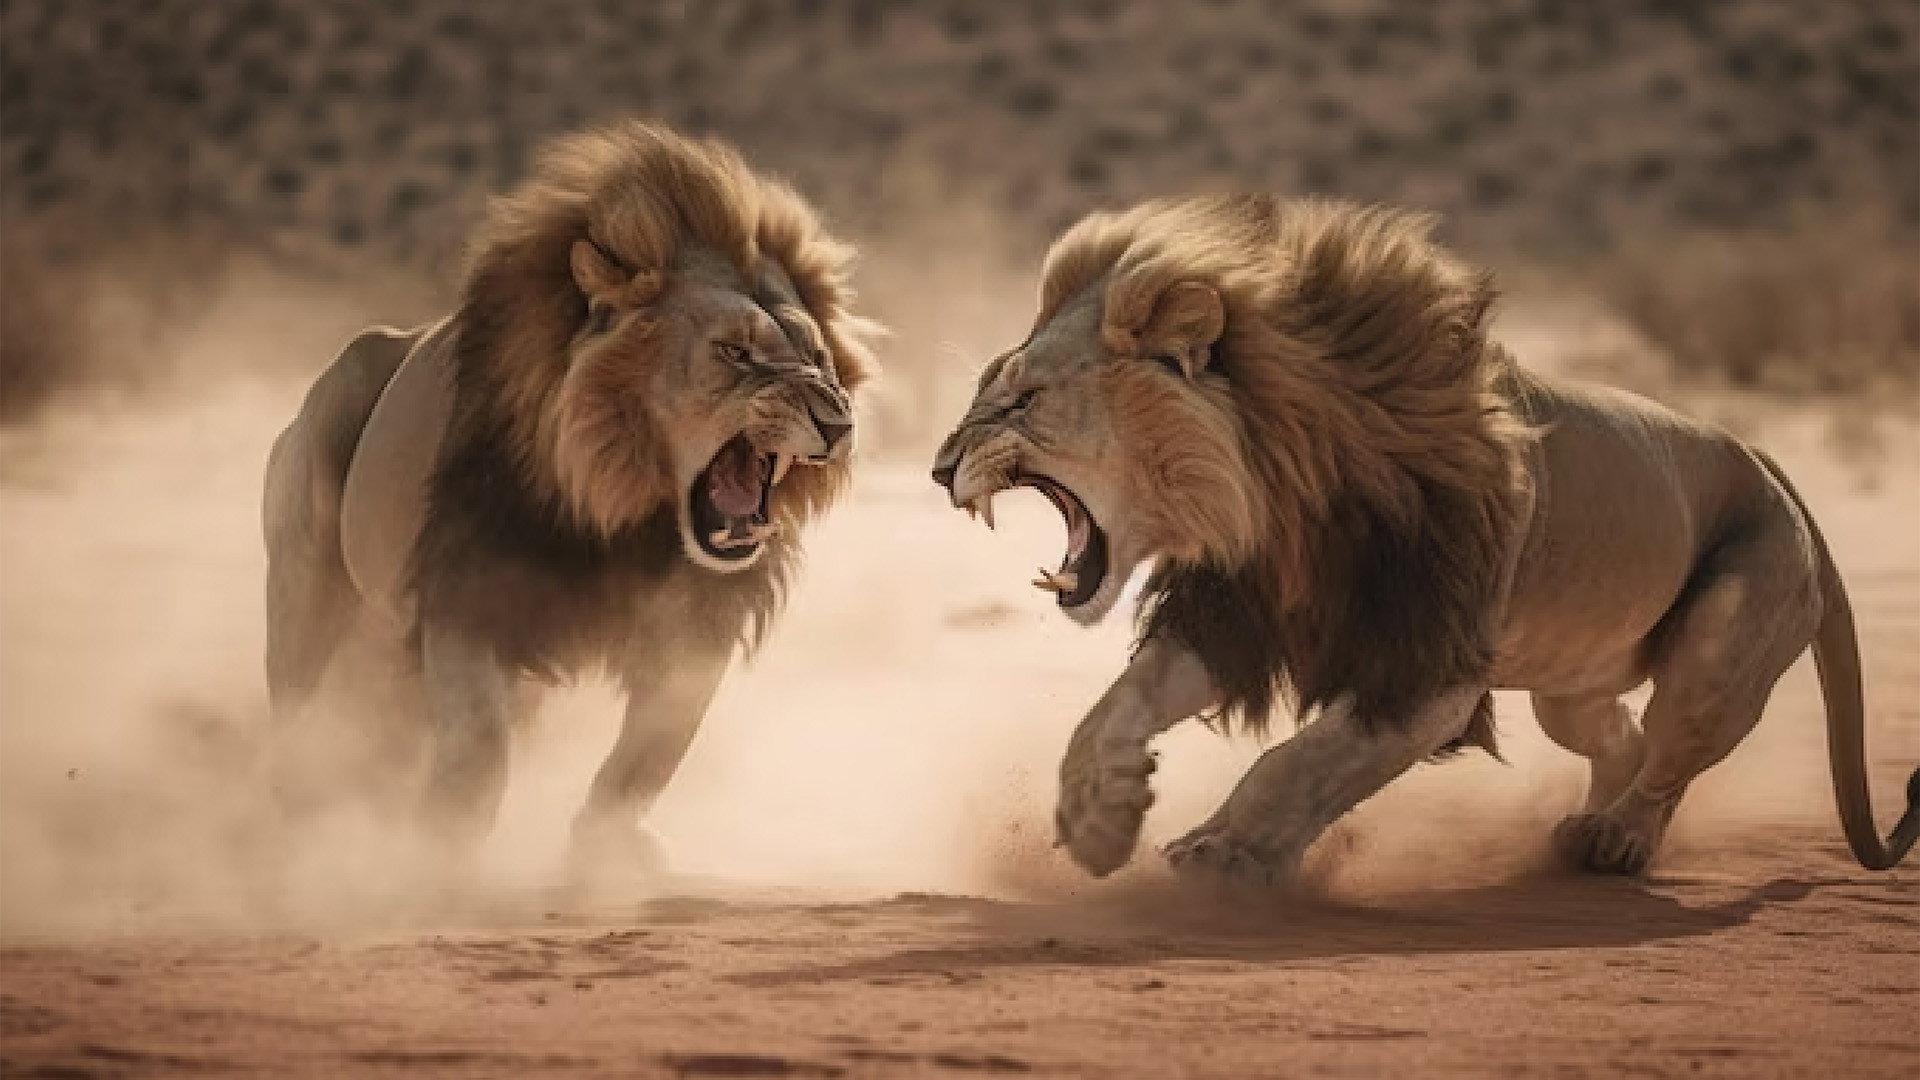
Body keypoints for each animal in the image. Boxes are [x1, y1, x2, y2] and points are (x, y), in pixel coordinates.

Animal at [263, 120, 876, 873]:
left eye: (818, 358)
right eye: (735, 352)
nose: (839, 424)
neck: (624, 511)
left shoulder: (698, 628)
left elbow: (648, 757)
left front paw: (604, 848)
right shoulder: (468, 589)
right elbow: (479, 744)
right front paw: (438, 846)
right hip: (309, 571)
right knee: (300, 704)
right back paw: (297, 812)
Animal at [932, 194, 1917, 886]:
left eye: (1023, 401)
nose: (940, 469)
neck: (1275, 496)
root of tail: (1766, 461)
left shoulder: (1429, 665)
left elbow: (1300, 763)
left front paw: (1225, 853)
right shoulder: (1239, 616)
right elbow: (1114, 708)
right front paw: (1099, 820)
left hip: (1725, 636)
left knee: (1670, 759)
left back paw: (1617, 840)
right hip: (1569, 687)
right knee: (1624, 739)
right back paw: (1582, 829)